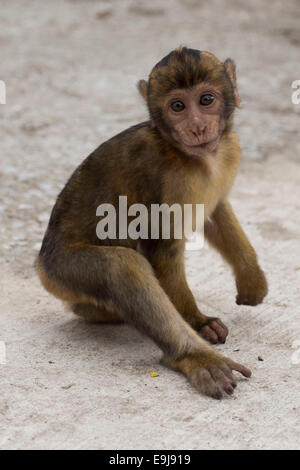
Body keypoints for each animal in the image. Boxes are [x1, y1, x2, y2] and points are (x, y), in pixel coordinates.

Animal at [35, 48, 268, 400]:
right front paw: (198, 322)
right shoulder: (162, 174)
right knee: (121, 267)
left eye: (206, 100)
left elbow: (216, 212)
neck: (195, 158)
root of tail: (40, 263)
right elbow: (159, 248)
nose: (197, 126)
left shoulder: (230, 151)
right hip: (61, 270)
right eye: (178, 107)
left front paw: (251, 278)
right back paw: (192, 357)